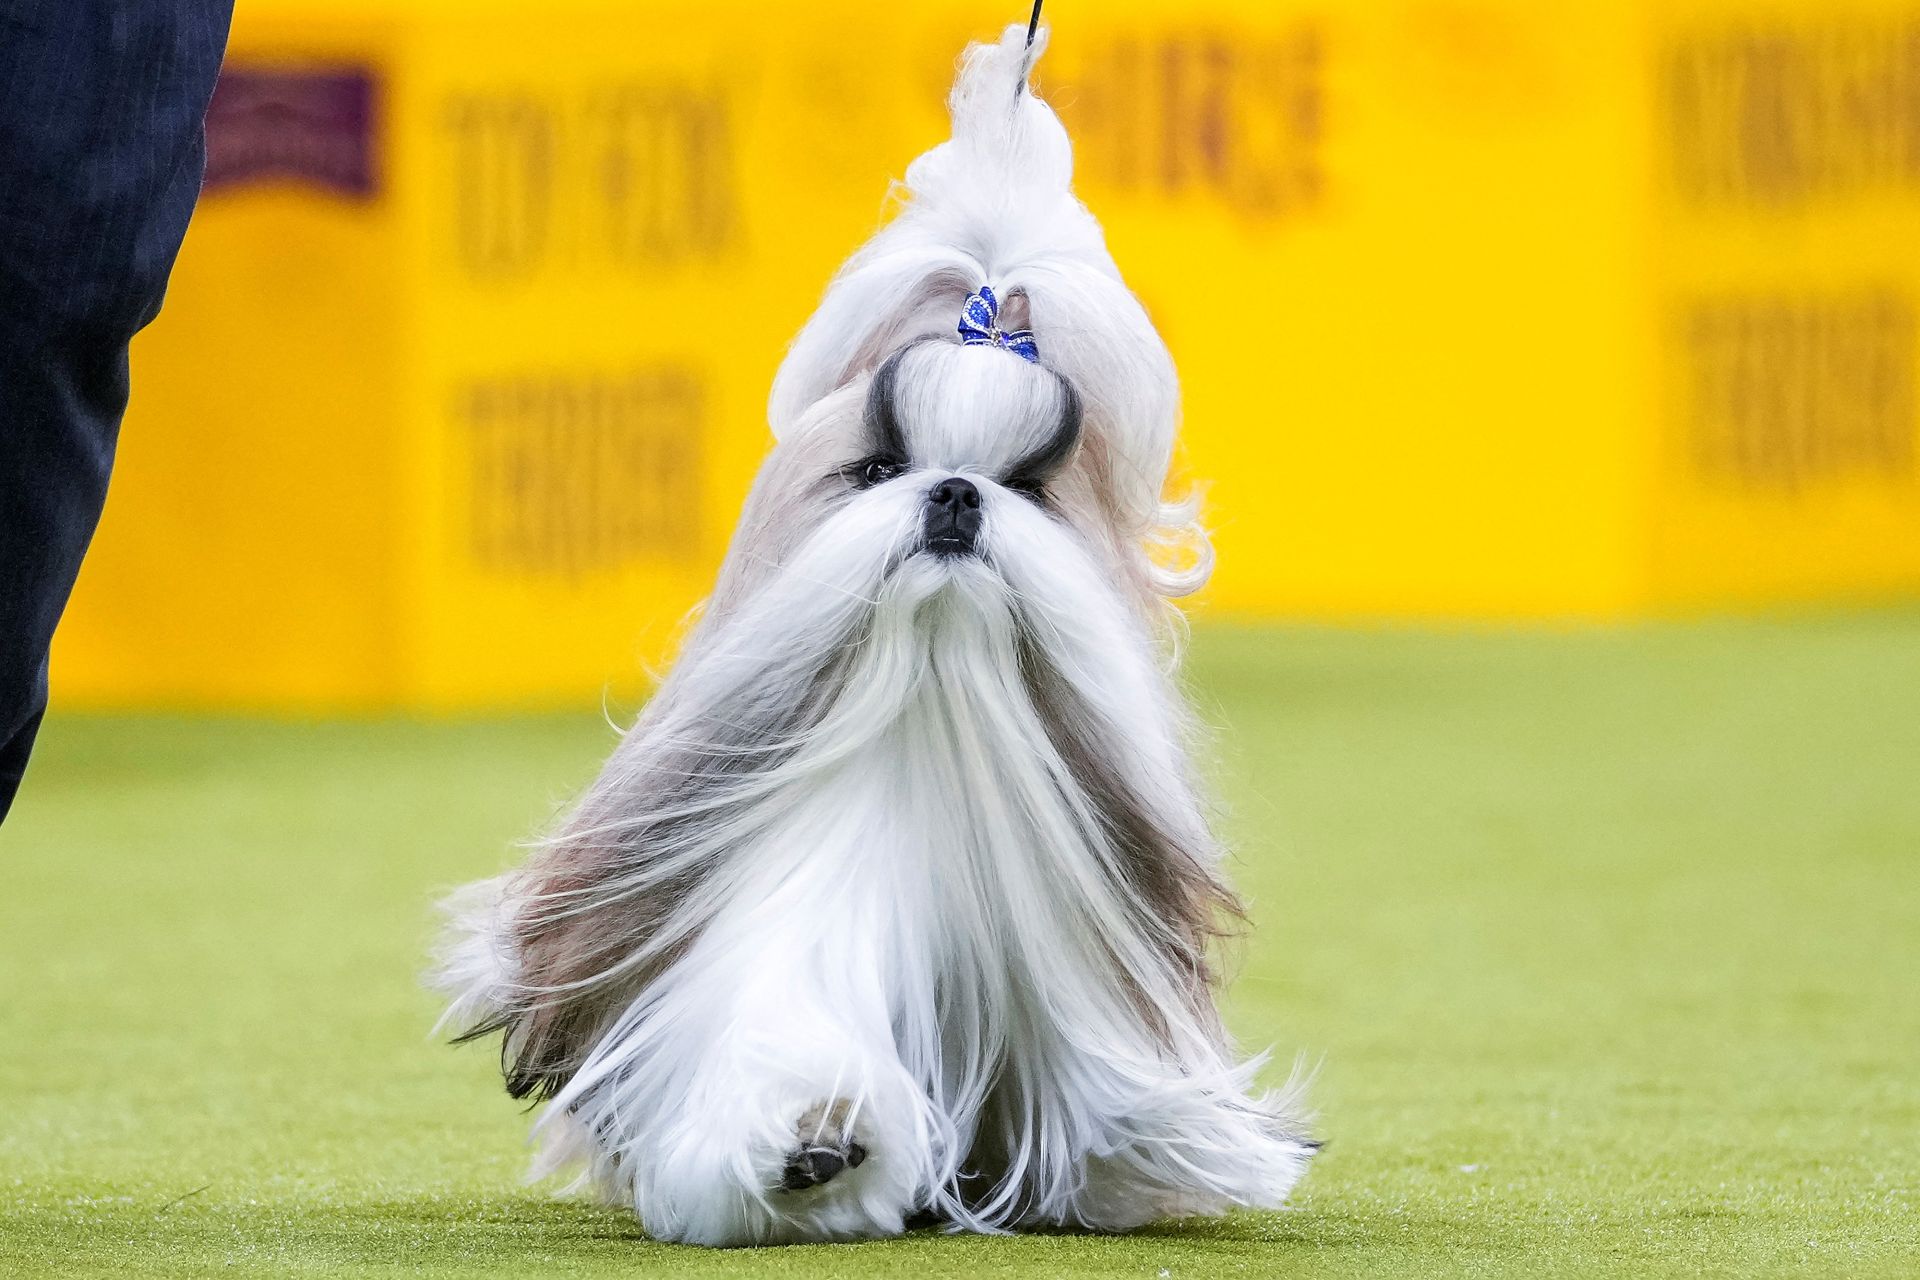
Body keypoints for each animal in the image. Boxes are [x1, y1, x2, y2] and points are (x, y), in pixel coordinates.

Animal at [435, 20, 1313, 1243]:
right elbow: (781, 1034)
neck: (923, 722)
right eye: (877, 466)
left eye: (1028, 486)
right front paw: (814, 1139)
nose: (955, 492)